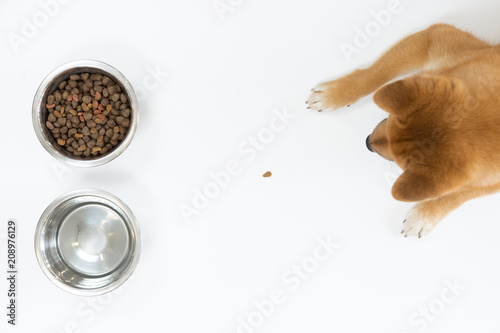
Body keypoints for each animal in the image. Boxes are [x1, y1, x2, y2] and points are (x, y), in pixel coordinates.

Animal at [306, 24, 500, 236]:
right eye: (392, 118)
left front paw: (426, 214)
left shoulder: (491, 179)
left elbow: (463, 192)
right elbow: (376, 74)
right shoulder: (434, 38)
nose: (368, 142)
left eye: (404, 165)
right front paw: (337, 93)